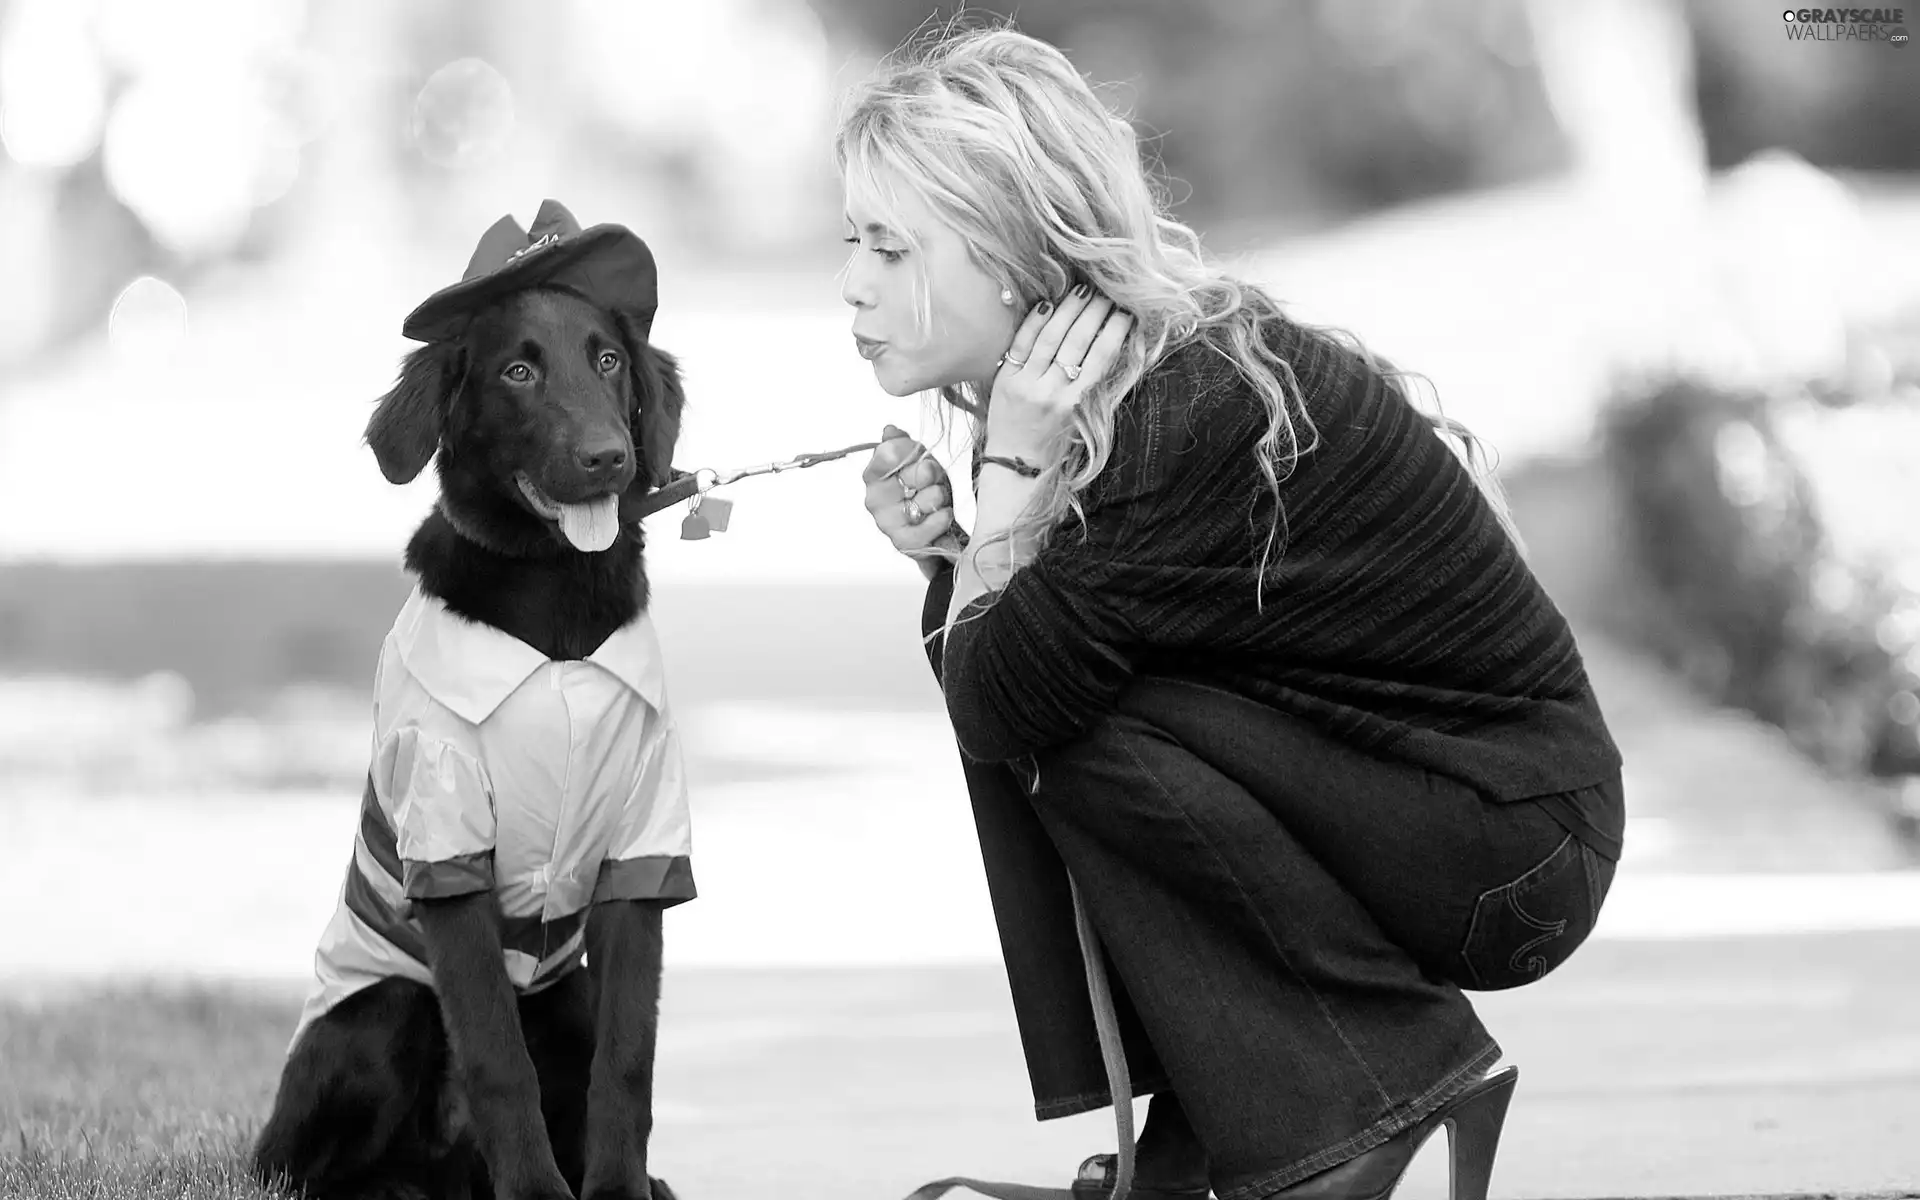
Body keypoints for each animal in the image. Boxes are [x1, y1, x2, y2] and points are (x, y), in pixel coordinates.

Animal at [255, 247, 691, 1190]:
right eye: (517, 373)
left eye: (609, 360)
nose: (607, 457)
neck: (556, 606)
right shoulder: (447, 847)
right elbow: (496, 1056)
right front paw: (535, 1190)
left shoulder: (640, 852)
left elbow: (628, 1059)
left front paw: (620, 1189)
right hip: (384, 1008)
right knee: (305, 1167)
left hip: (566, 997)